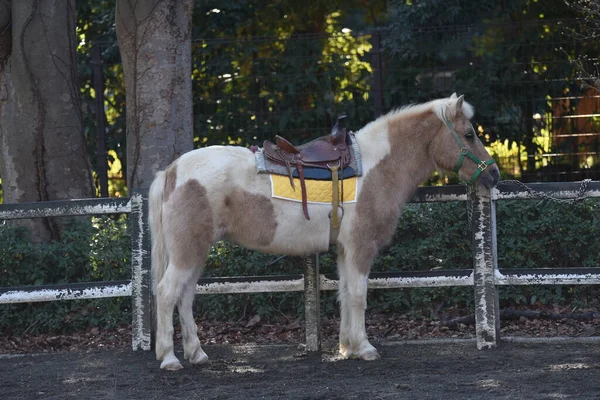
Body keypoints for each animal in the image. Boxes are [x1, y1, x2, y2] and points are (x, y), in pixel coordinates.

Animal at [149, 93, 502, 368]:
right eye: (469, 134)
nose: (495, 174)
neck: (375, 168)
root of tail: (172, 170)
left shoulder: (346, 249)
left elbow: (345, 293)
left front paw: (348, 347)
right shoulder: (360, 246)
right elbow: (358, 295)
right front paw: (366, 348)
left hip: (197, 252)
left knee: (185, 297)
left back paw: (196, 354)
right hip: (186, 252)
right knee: (167, 293)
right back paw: (169, 358)